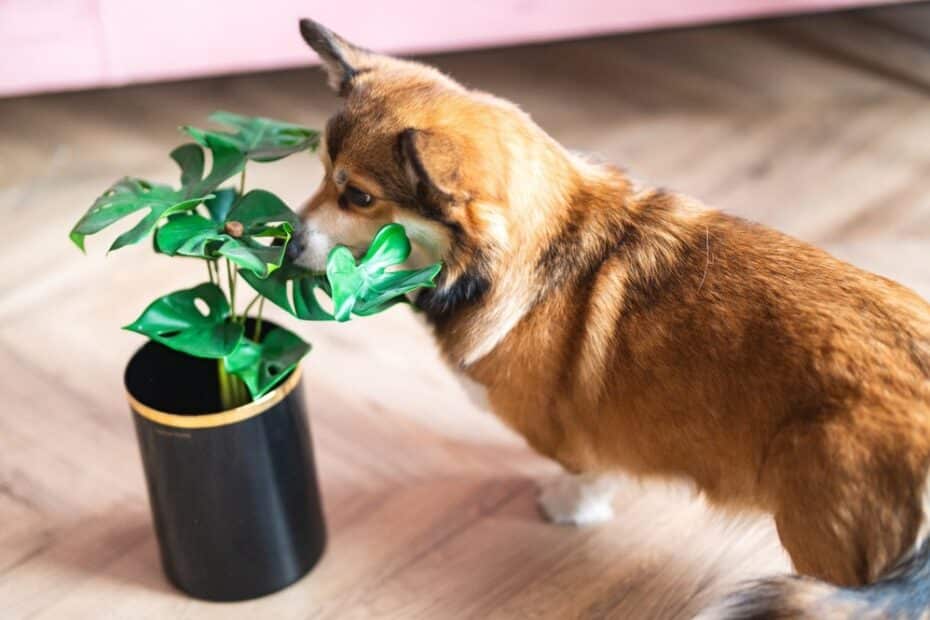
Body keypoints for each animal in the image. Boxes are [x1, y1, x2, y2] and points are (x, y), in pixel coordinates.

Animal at [292, 19, 930, 620]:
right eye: (320, 172)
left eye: (359, 197)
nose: (285, 246)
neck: (536, 243)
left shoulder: (572, 437)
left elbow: (585, 473)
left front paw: (567, 507)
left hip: (820, 537)